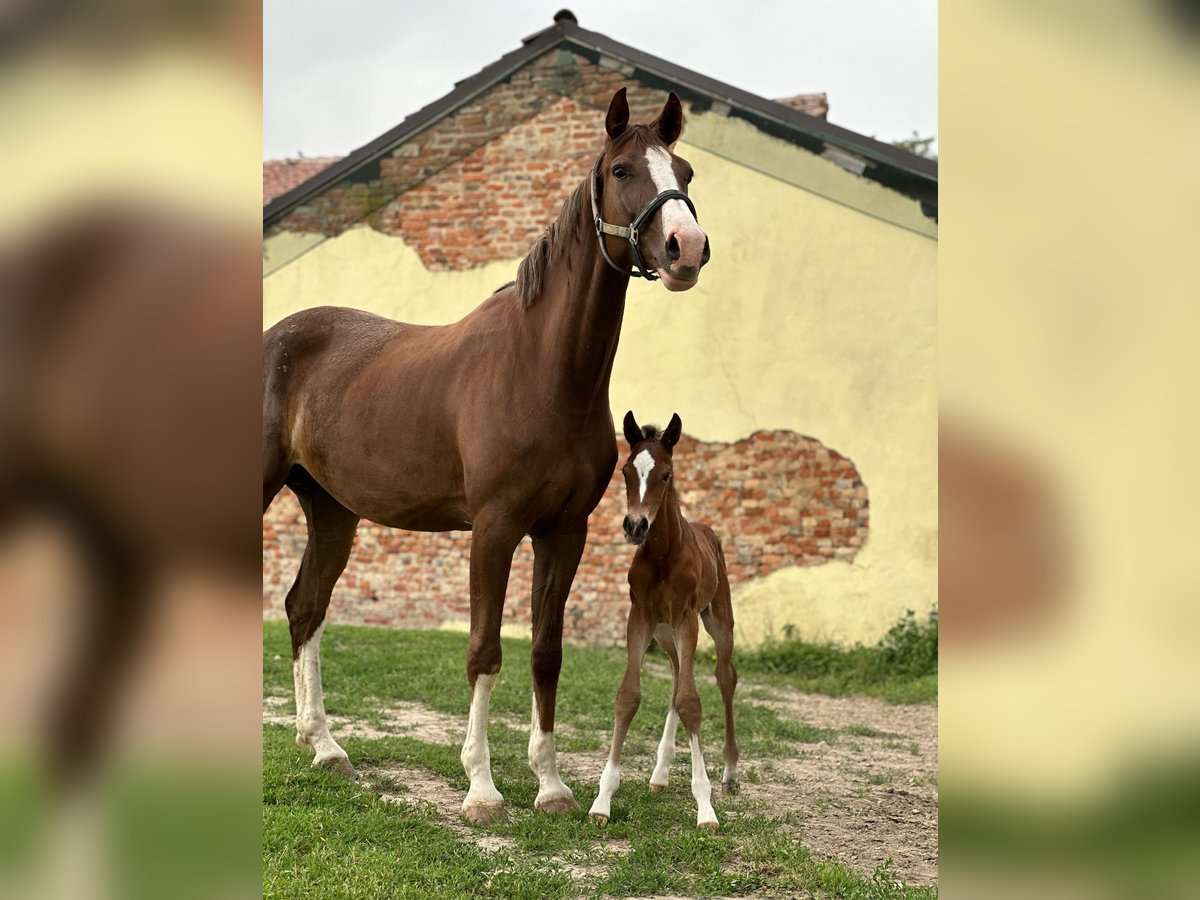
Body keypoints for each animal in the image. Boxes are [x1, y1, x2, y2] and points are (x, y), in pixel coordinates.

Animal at [260, 90, 710, 825]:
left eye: (686, 172)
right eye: (620, 169)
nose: (686, 248)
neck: (543, 370)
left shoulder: (564, 532)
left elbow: (546, 653)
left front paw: (552, 786)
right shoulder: (494, 530)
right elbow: (484, 651)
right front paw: (482, 789)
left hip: (332, 512)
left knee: (305, 608)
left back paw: (323, 747)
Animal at [585, 412, 734, 830]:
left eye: (666, 475)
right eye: (625, 471)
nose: (635, 526)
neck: (665, 553)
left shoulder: (686, 619)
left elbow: (691, 702)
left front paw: (706, 808)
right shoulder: (640, 617)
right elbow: (628, 696)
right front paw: (602, 801)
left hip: (716, 621)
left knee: (725, 676)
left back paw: (729, 773)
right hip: (665, 634)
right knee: (675, 675)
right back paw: (660, 774)